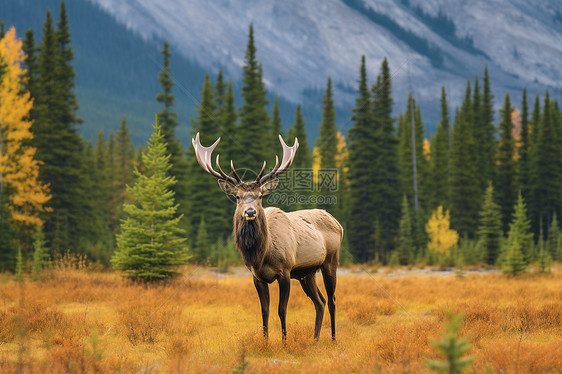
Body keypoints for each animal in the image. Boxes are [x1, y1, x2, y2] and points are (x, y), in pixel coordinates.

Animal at [192, 134, 342, 342]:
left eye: (260, 196)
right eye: (237, 197)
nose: (250, 212)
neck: (262, 254)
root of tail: (337, 223)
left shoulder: (285, 270)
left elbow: (282, 310)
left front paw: (285, 342)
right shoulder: (257, 276)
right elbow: (265, 310)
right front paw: (265, 341)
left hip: (330, 261)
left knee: (333, 299)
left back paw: (334, 339)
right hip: (307, 273)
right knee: (320, 301)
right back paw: (315, 339)